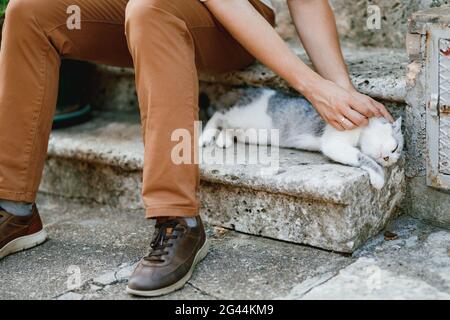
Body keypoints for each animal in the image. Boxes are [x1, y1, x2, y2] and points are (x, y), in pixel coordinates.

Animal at [200, 87, 404, 190]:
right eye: (395, 148)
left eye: (394, 154)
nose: (389, 159)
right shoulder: (334, 143)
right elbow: (364, 158)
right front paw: (378, 177)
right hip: (240, 115)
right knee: (218, 114)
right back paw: (206, 136)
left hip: (257, 134)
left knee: (231, 128)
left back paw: (223, 139)